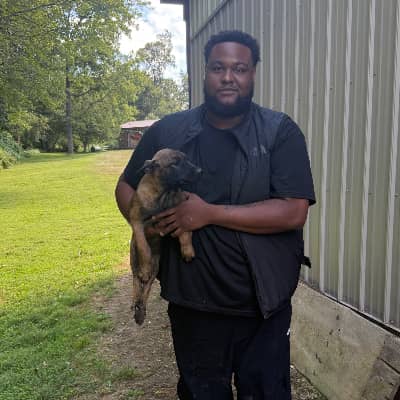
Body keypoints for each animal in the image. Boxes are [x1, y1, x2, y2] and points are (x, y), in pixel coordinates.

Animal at [128, 148, 201, 325]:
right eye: (175, 163)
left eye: (186, 159)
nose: (199, 171)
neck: (164, 194)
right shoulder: (137, 222)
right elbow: (143, 245)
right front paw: (145, 265)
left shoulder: (182, 212)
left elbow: (185, 234)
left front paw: (187, 251)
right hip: (133, 257)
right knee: (136, 280)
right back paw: (137, 300)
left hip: (156, 266)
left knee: (146, 286)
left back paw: (140, 311)